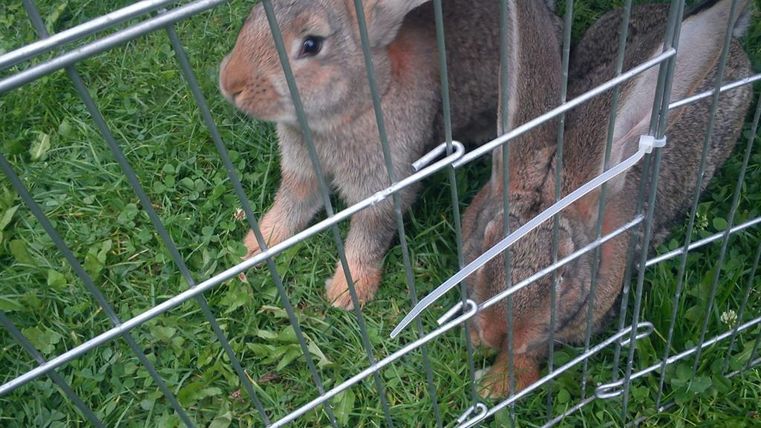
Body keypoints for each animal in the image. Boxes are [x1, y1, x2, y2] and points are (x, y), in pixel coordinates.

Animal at [219, 0, 559, 310]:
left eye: (311, 44)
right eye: (255, 15)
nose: (230, 83)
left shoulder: (382, 189)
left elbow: (367, 238)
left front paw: (347, 293)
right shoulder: (302, 172)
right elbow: (291, 204)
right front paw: (256, 245)